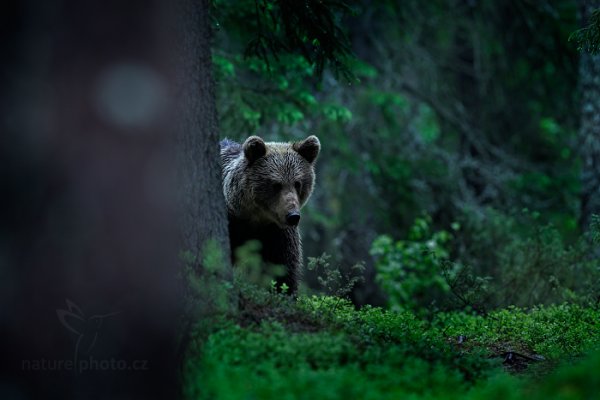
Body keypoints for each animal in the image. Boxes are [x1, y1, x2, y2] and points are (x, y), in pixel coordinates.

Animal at [220, 134, 322, 294]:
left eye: (297, 183)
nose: (293, 216)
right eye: (276, 184)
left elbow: (284, 271)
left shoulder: (276, 234)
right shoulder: (233, 222)